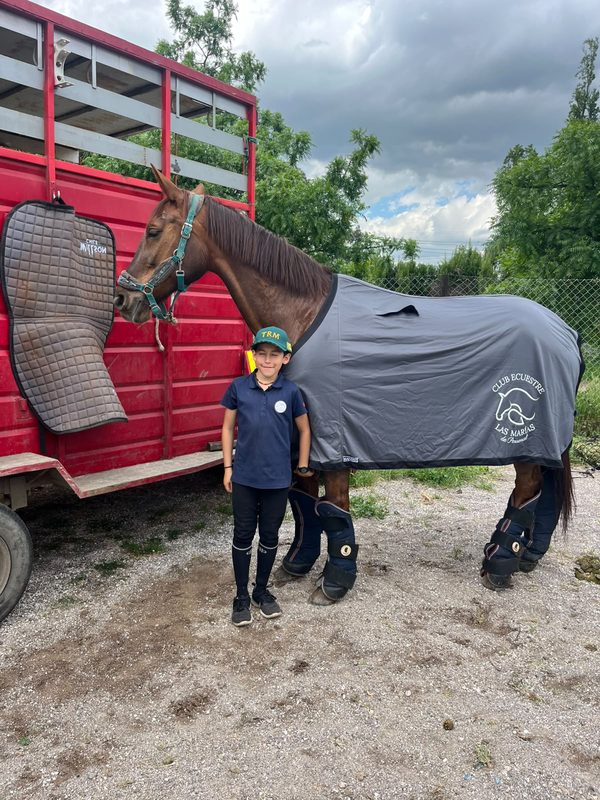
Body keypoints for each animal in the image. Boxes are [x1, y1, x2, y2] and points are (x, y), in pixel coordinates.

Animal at [114, 168, 581, 605]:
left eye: (153, 230)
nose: (124, 300)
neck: (302, 314)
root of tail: (565, 329)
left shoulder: (333, 441)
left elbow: (334, 510)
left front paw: (336, 581)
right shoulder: (300, 438)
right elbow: (304, 507)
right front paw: (298, 564)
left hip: (527, 438)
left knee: (527, 491)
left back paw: (500, 565)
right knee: (541, 495)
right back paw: (523, 556)